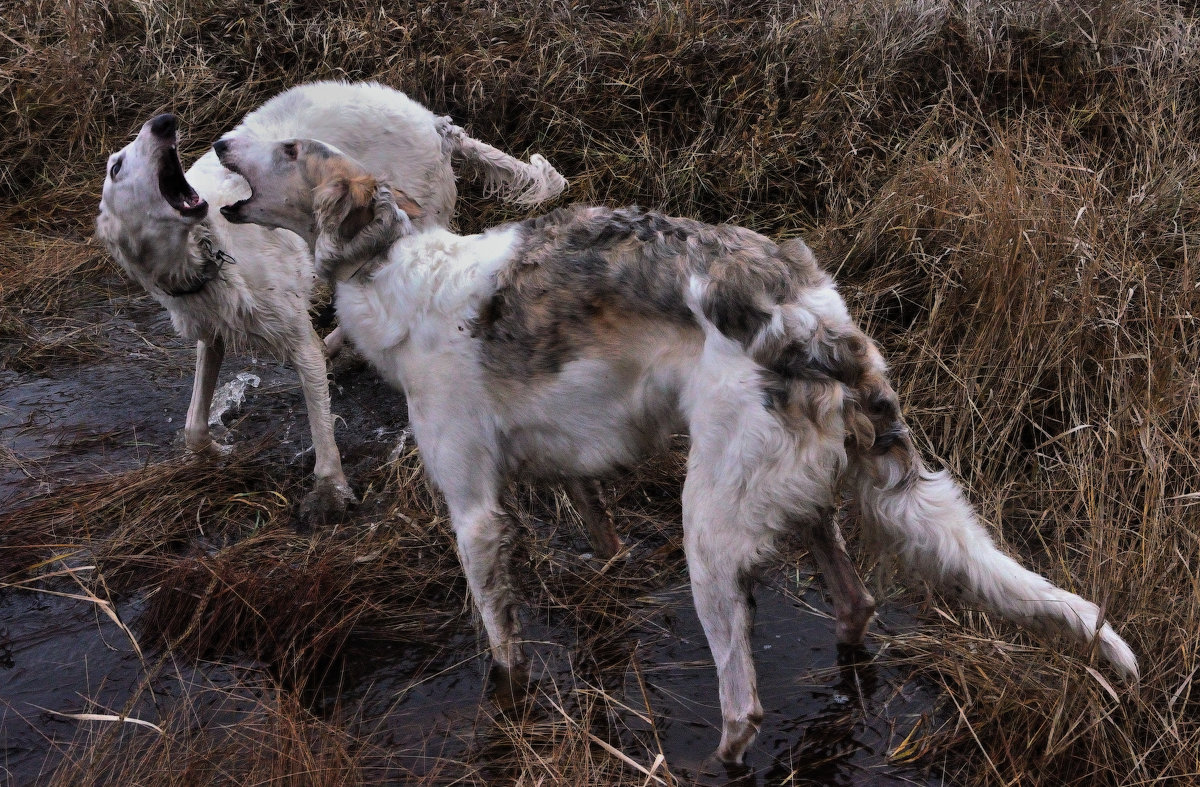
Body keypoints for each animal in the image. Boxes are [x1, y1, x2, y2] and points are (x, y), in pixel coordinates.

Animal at [94, 81, 566, 523]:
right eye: (116, 167)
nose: (164, 121)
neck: (207, 253)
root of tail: (436, 123)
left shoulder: (296, 339)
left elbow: (321, 426)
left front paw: (331, 490)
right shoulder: (212, 333)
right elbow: (194, 423)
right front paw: (213, 453)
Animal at [216, 138, 1142, 767]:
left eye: (292, 146)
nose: (219, 144)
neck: (400, 266)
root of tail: (821, 328)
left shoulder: (475, 511)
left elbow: (502, 645)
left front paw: (508, 704)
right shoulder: (569, 471)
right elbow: (601, 536)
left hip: (711, 530)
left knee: (744, 704)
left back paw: (709, 756)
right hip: (799, 502)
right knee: (856, 606)